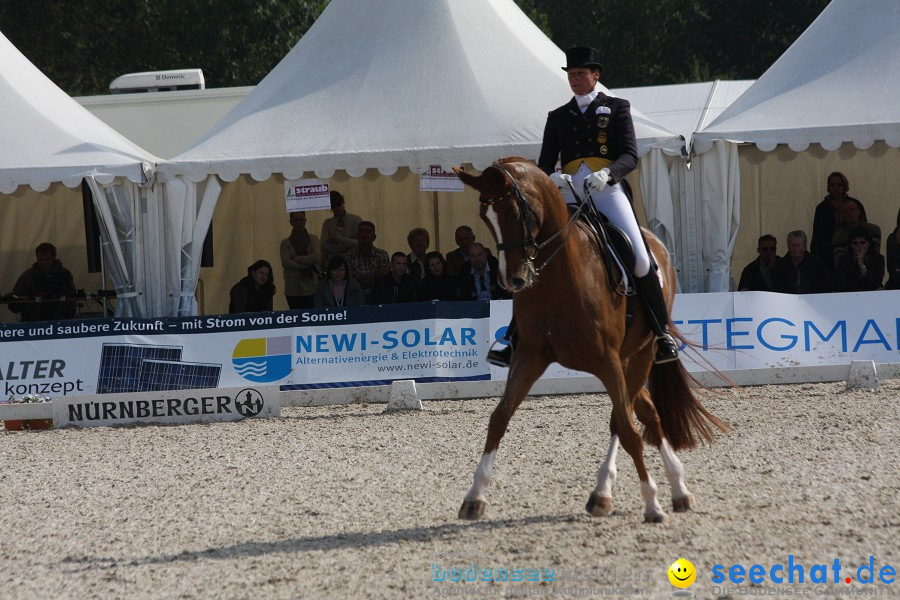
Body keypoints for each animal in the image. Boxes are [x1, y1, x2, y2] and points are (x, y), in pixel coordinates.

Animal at [454, 157, 728, 524]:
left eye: (513, 214)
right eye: (486, 218)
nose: (512, 280)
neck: (557, 278)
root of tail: (655, 242)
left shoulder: (606, 360)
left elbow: (626, 429)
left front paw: (652, 504)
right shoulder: (530, 356)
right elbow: (499, 417)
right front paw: (474, 497)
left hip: (641, 353)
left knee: (628, 416)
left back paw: (625, 491)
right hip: (626, 359)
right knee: (646, 410)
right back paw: (665, 488)